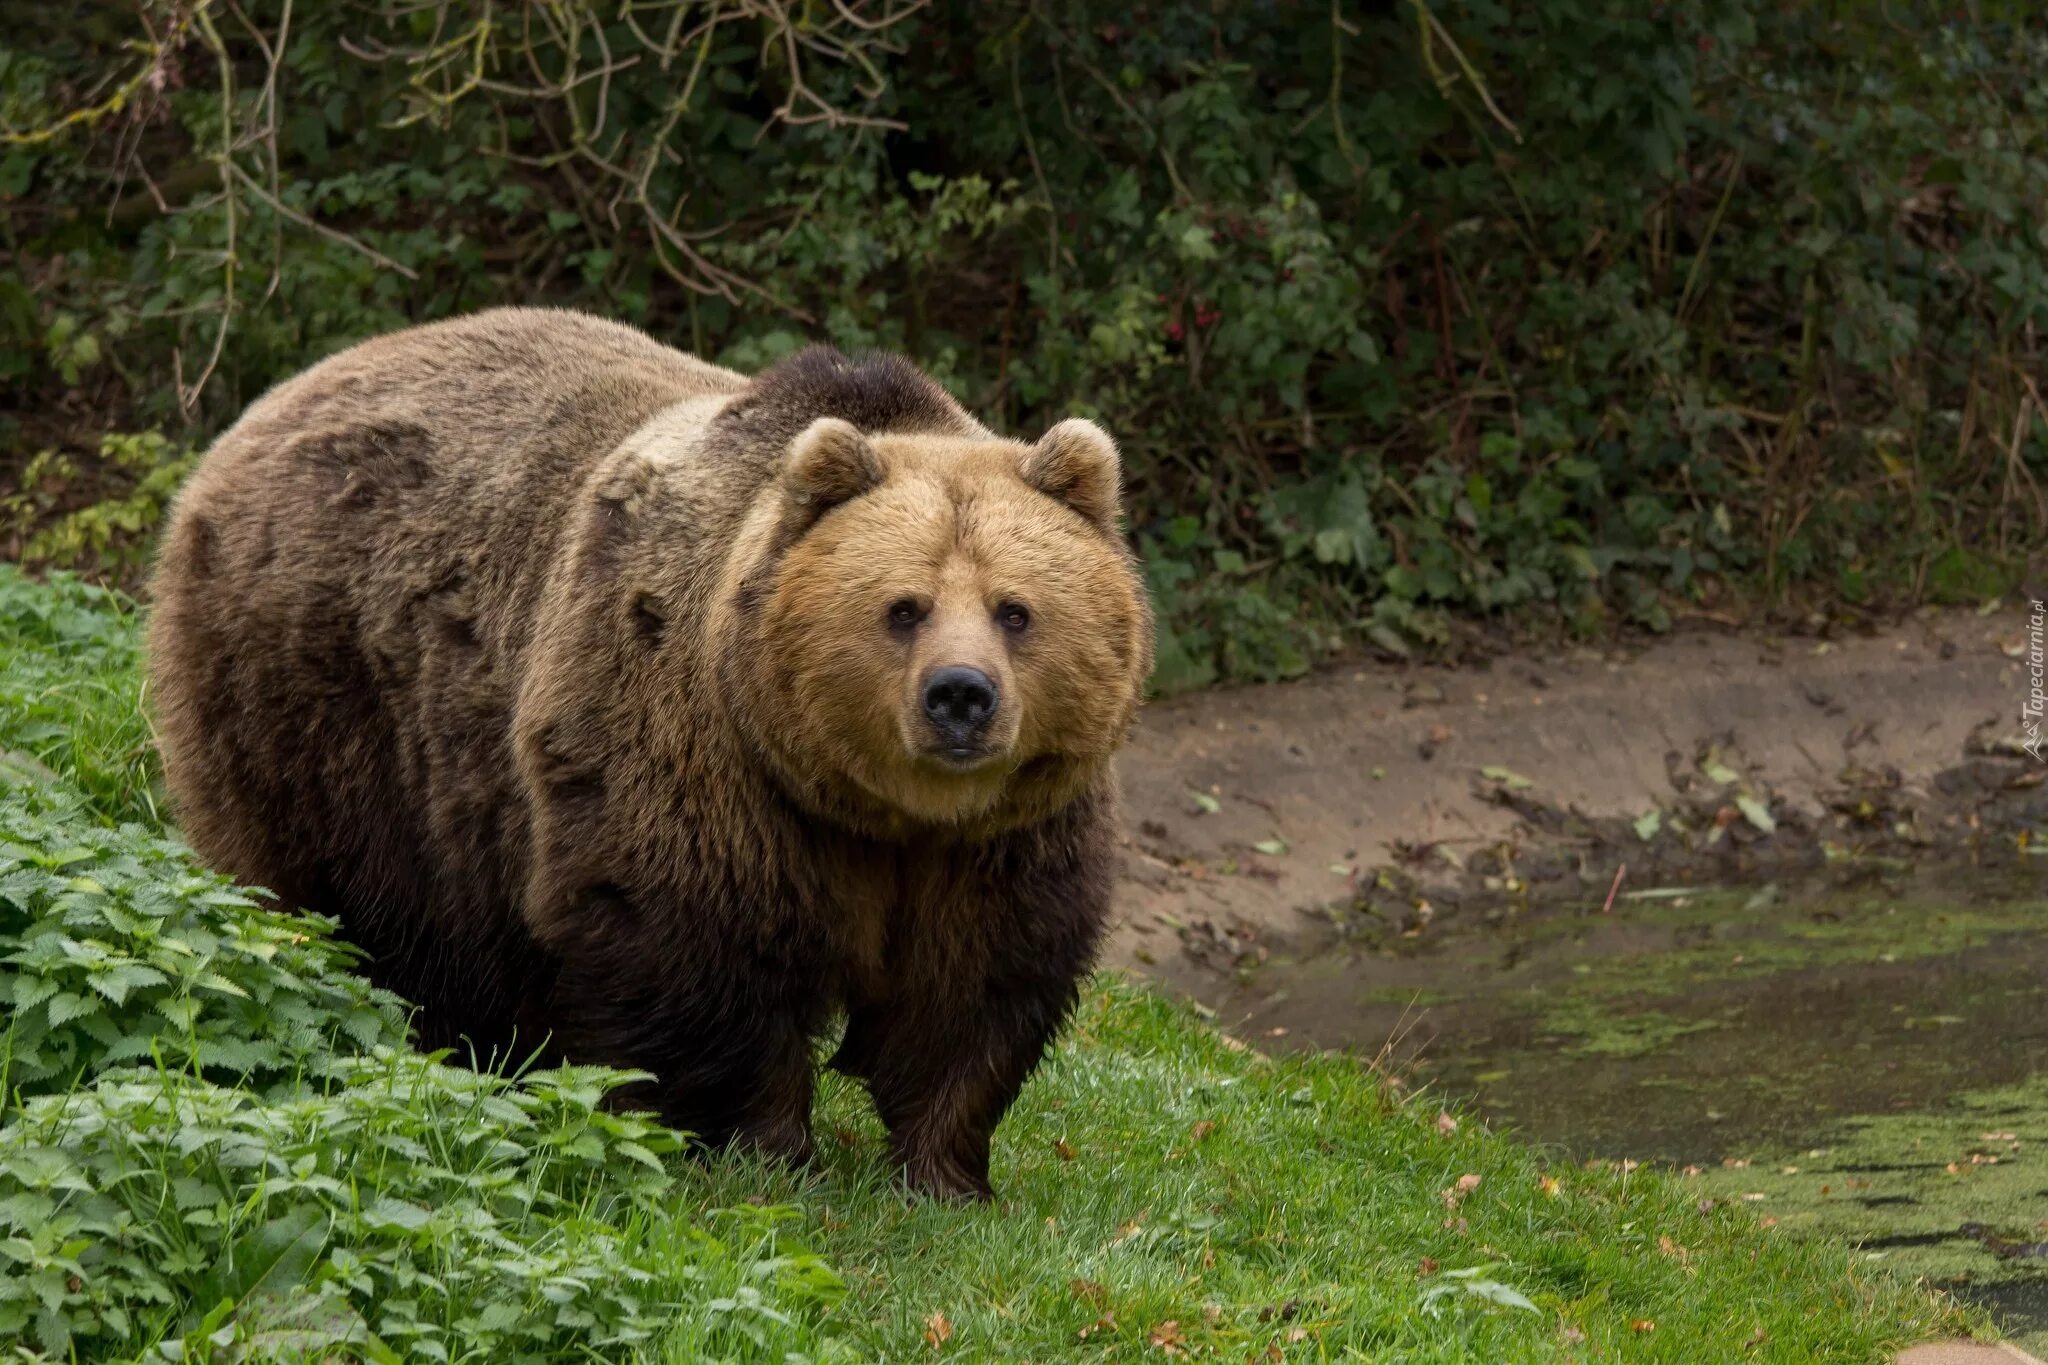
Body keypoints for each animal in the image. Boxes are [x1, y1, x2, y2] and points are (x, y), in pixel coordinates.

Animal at [148, 306, 1155, 1195]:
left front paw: (947, 1174)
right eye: (902, 607)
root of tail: (271, 404)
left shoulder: (1008, 833)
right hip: (314, 702)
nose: (960, 697)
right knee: (336, 899)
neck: (879, 811)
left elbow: (976, 985)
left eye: (1015, 609)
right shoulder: (695, 747)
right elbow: (698, 945)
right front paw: (767, 1149)